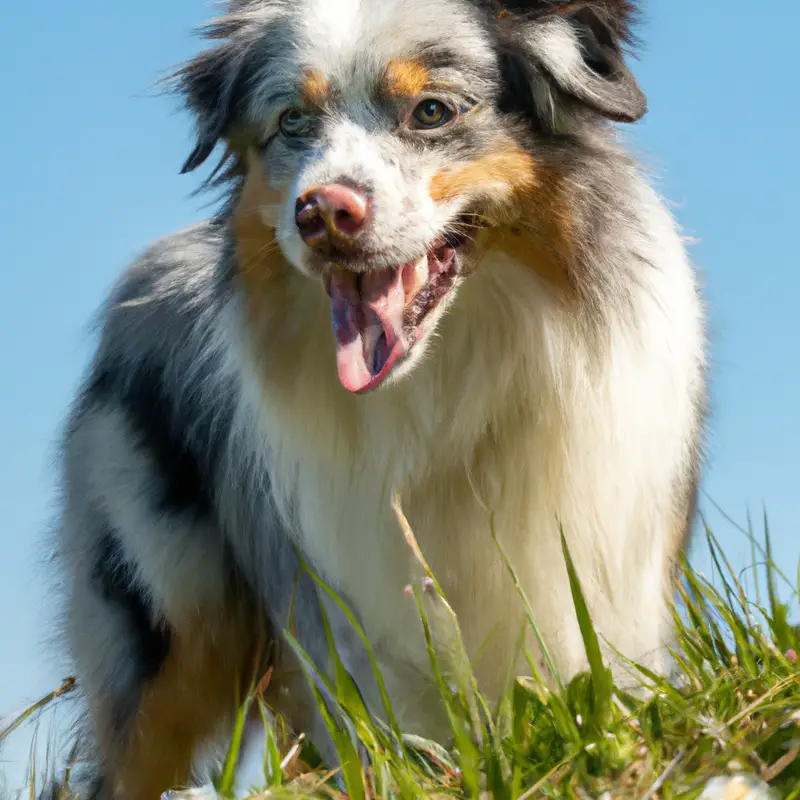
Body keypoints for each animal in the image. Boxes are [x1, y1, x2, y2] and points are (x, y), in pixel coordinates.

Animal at [53, 1, 708, 792]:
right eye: (293, 122)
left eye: (431, 111)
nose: (322, 212)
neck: (451, 381)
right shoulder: (353, 612)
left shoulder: (610, 574)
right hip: (162, 622)